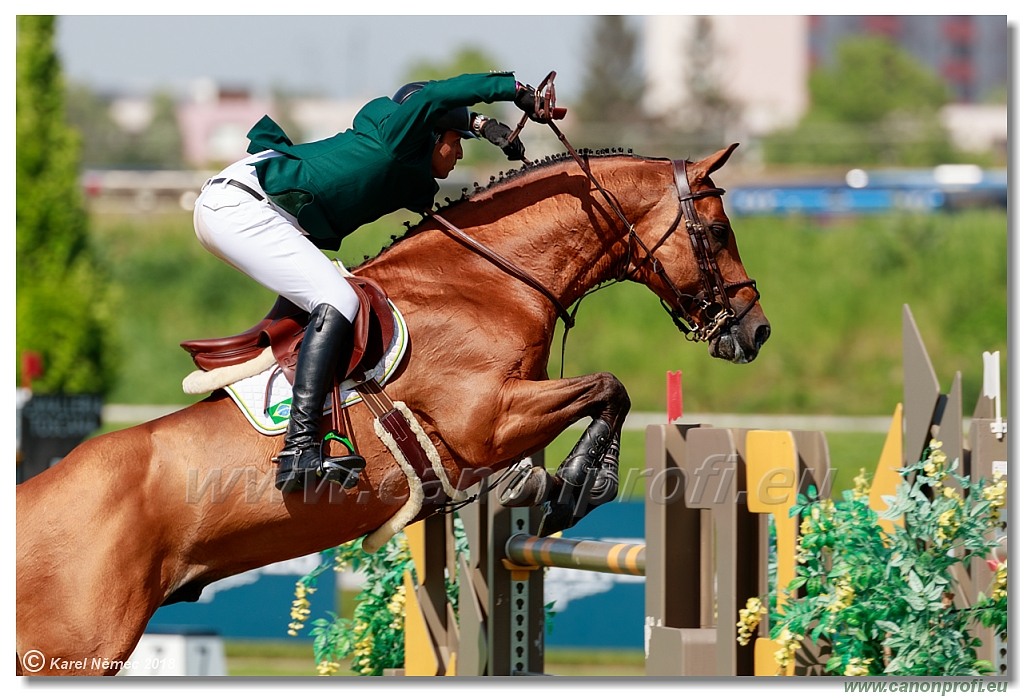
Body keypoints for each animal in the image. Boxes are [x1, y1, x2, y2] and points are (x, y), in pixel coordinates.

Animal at [14, 145, 770, 675]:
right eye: (717, 230)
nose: (756, 330)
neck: (490, 280)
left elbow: (602, 399)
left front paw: (550, 484)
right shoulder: (485, 420)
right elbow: (610, 388)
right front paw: (574, 487)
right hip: (77, 647)